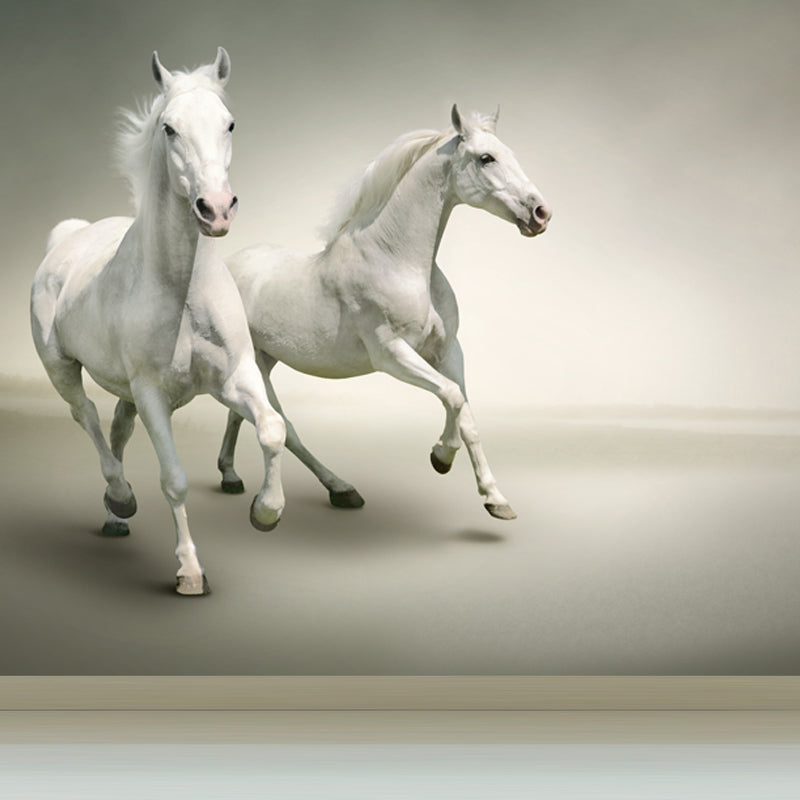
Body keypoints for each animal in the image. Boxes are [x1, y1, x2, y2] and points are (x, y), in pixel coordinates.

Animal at [30, 48, 286, 596]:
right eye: (169, 128)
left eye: (229, 123)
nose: (216, 209)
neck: (183, 291)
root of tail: (68, 237)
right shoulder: (152, 395)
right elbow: (174, 479)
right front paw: (189, 571)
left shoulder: (234, 377)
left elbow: (273, 428)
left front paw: (266, 511)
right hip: (60, 368)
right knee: (86, 416)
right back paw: (121, 497)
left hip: (124, 390)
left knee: (116, 428)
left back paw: (114, 515)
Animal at [216, 105, 551, 520]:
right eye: (486, 158)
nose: (541, 213)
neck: (397, 260)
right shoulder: (391, 354)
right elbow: (452, 397)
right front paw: (441, 456)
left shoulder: (447, 351)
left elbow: (467, 413)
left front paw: (495, 499)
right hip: (256, 365)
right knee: (283, 426)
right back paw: (335, 490)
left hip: (264, 359)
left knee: (240, 414)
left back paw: (232, 477)